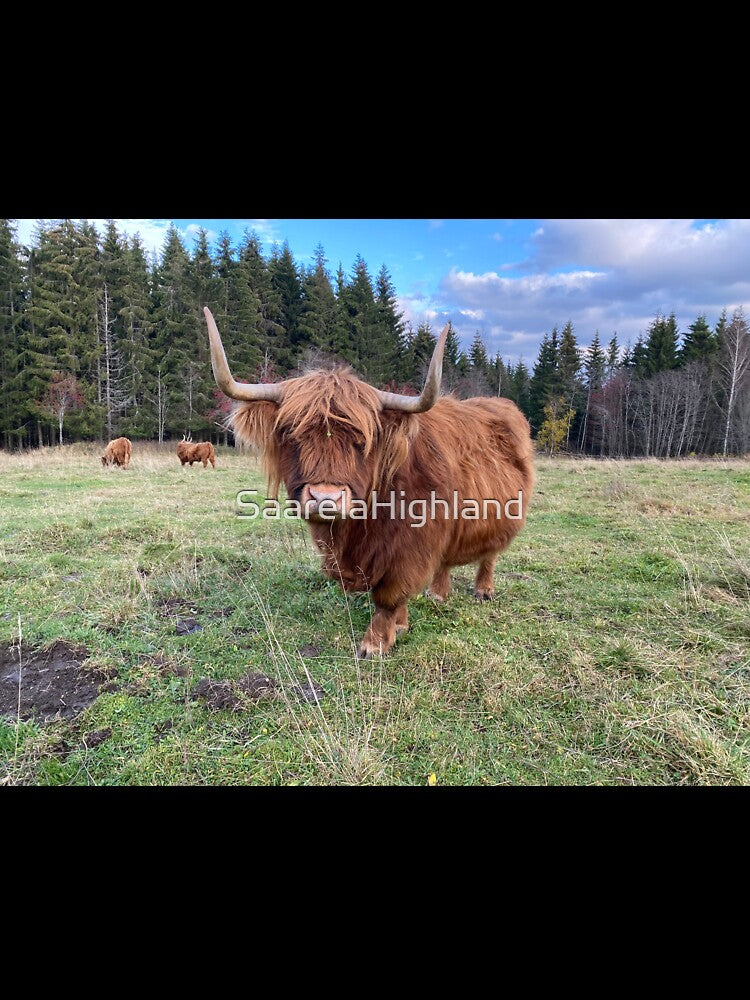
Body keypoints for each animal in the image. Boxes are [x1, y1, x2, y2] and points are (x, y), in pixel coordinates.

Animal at [204, 306, 534, 659]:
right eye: (292, 434)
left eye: (362, 441)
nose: (325, 498)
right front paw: (401, 625)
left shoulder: (411, 547)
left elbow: (389, 596)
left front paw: (375, 643)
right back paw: (437, 593)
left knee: (490, 554)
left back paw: (484, 589)